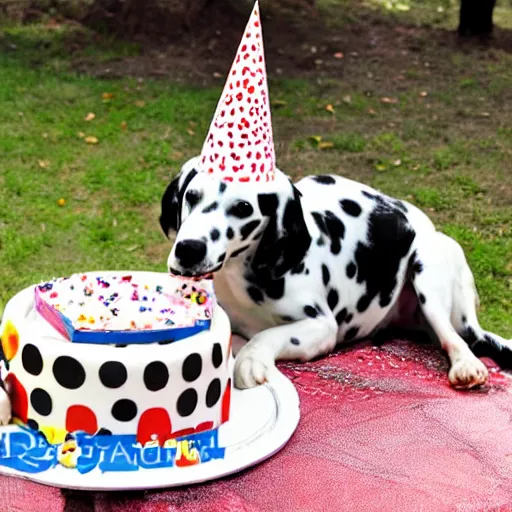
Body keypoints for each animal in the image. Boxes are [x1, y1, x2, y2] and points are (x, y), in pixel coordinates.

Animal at [160, 155, 512, 388]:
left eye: (244, 208)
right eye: (192, 196)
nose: (189, 249)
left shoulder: (321, 327)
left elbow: (265, 336)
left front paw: (251, 360)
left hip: (428, 270)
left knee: (458, 338)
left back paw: (466, 365)